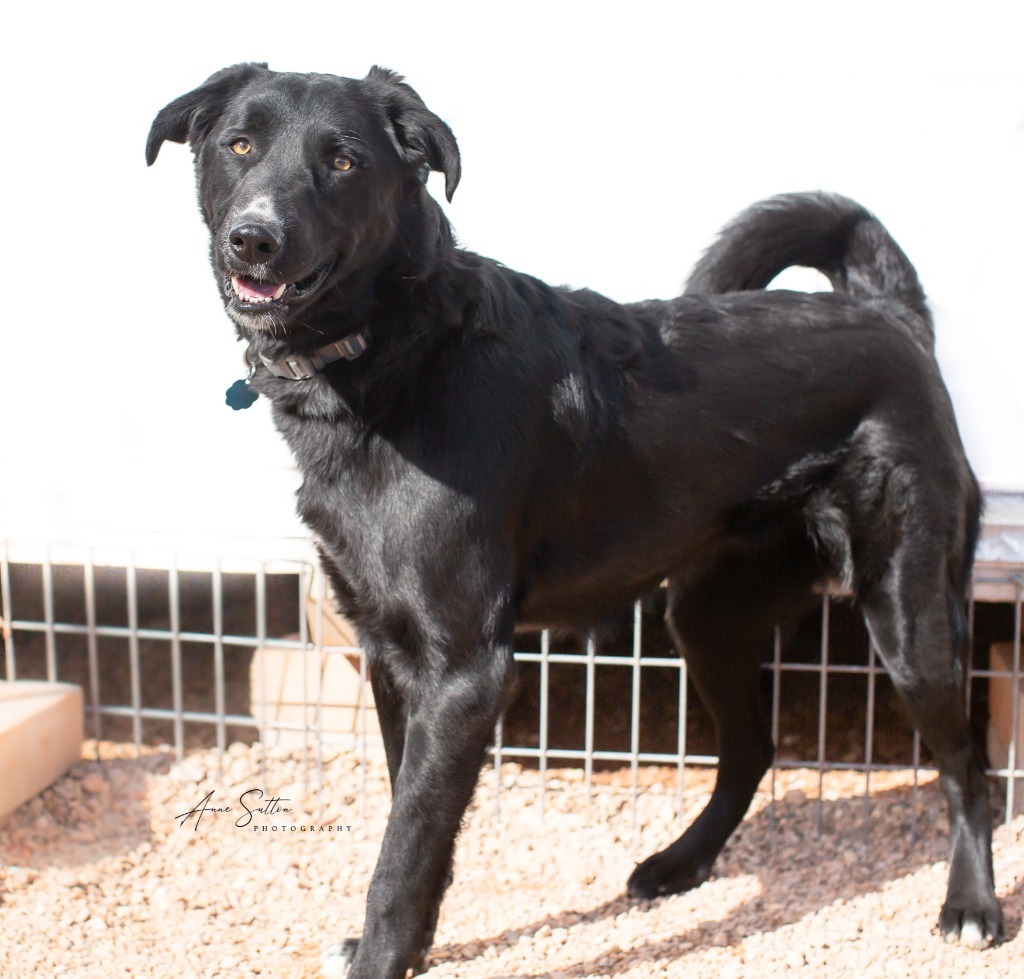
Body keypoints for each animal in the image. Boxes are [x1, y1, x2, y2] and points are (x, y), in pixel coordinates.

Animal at [148, 65, 1003, 974]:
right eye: (240, 144)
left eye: (343, 160)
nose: (254, 239)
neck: (404, 351)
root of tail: (892, 313)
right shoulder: (389, 652)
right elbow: (416, 824)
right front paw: (415, 946)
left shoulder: (466, 672)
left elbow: (402, 852)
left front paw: (383, 956)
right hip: (707, 614)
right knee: (752, 749)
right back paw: (682, 863)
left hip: (909, 615)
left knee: (967, 763)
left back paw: (973, 904)